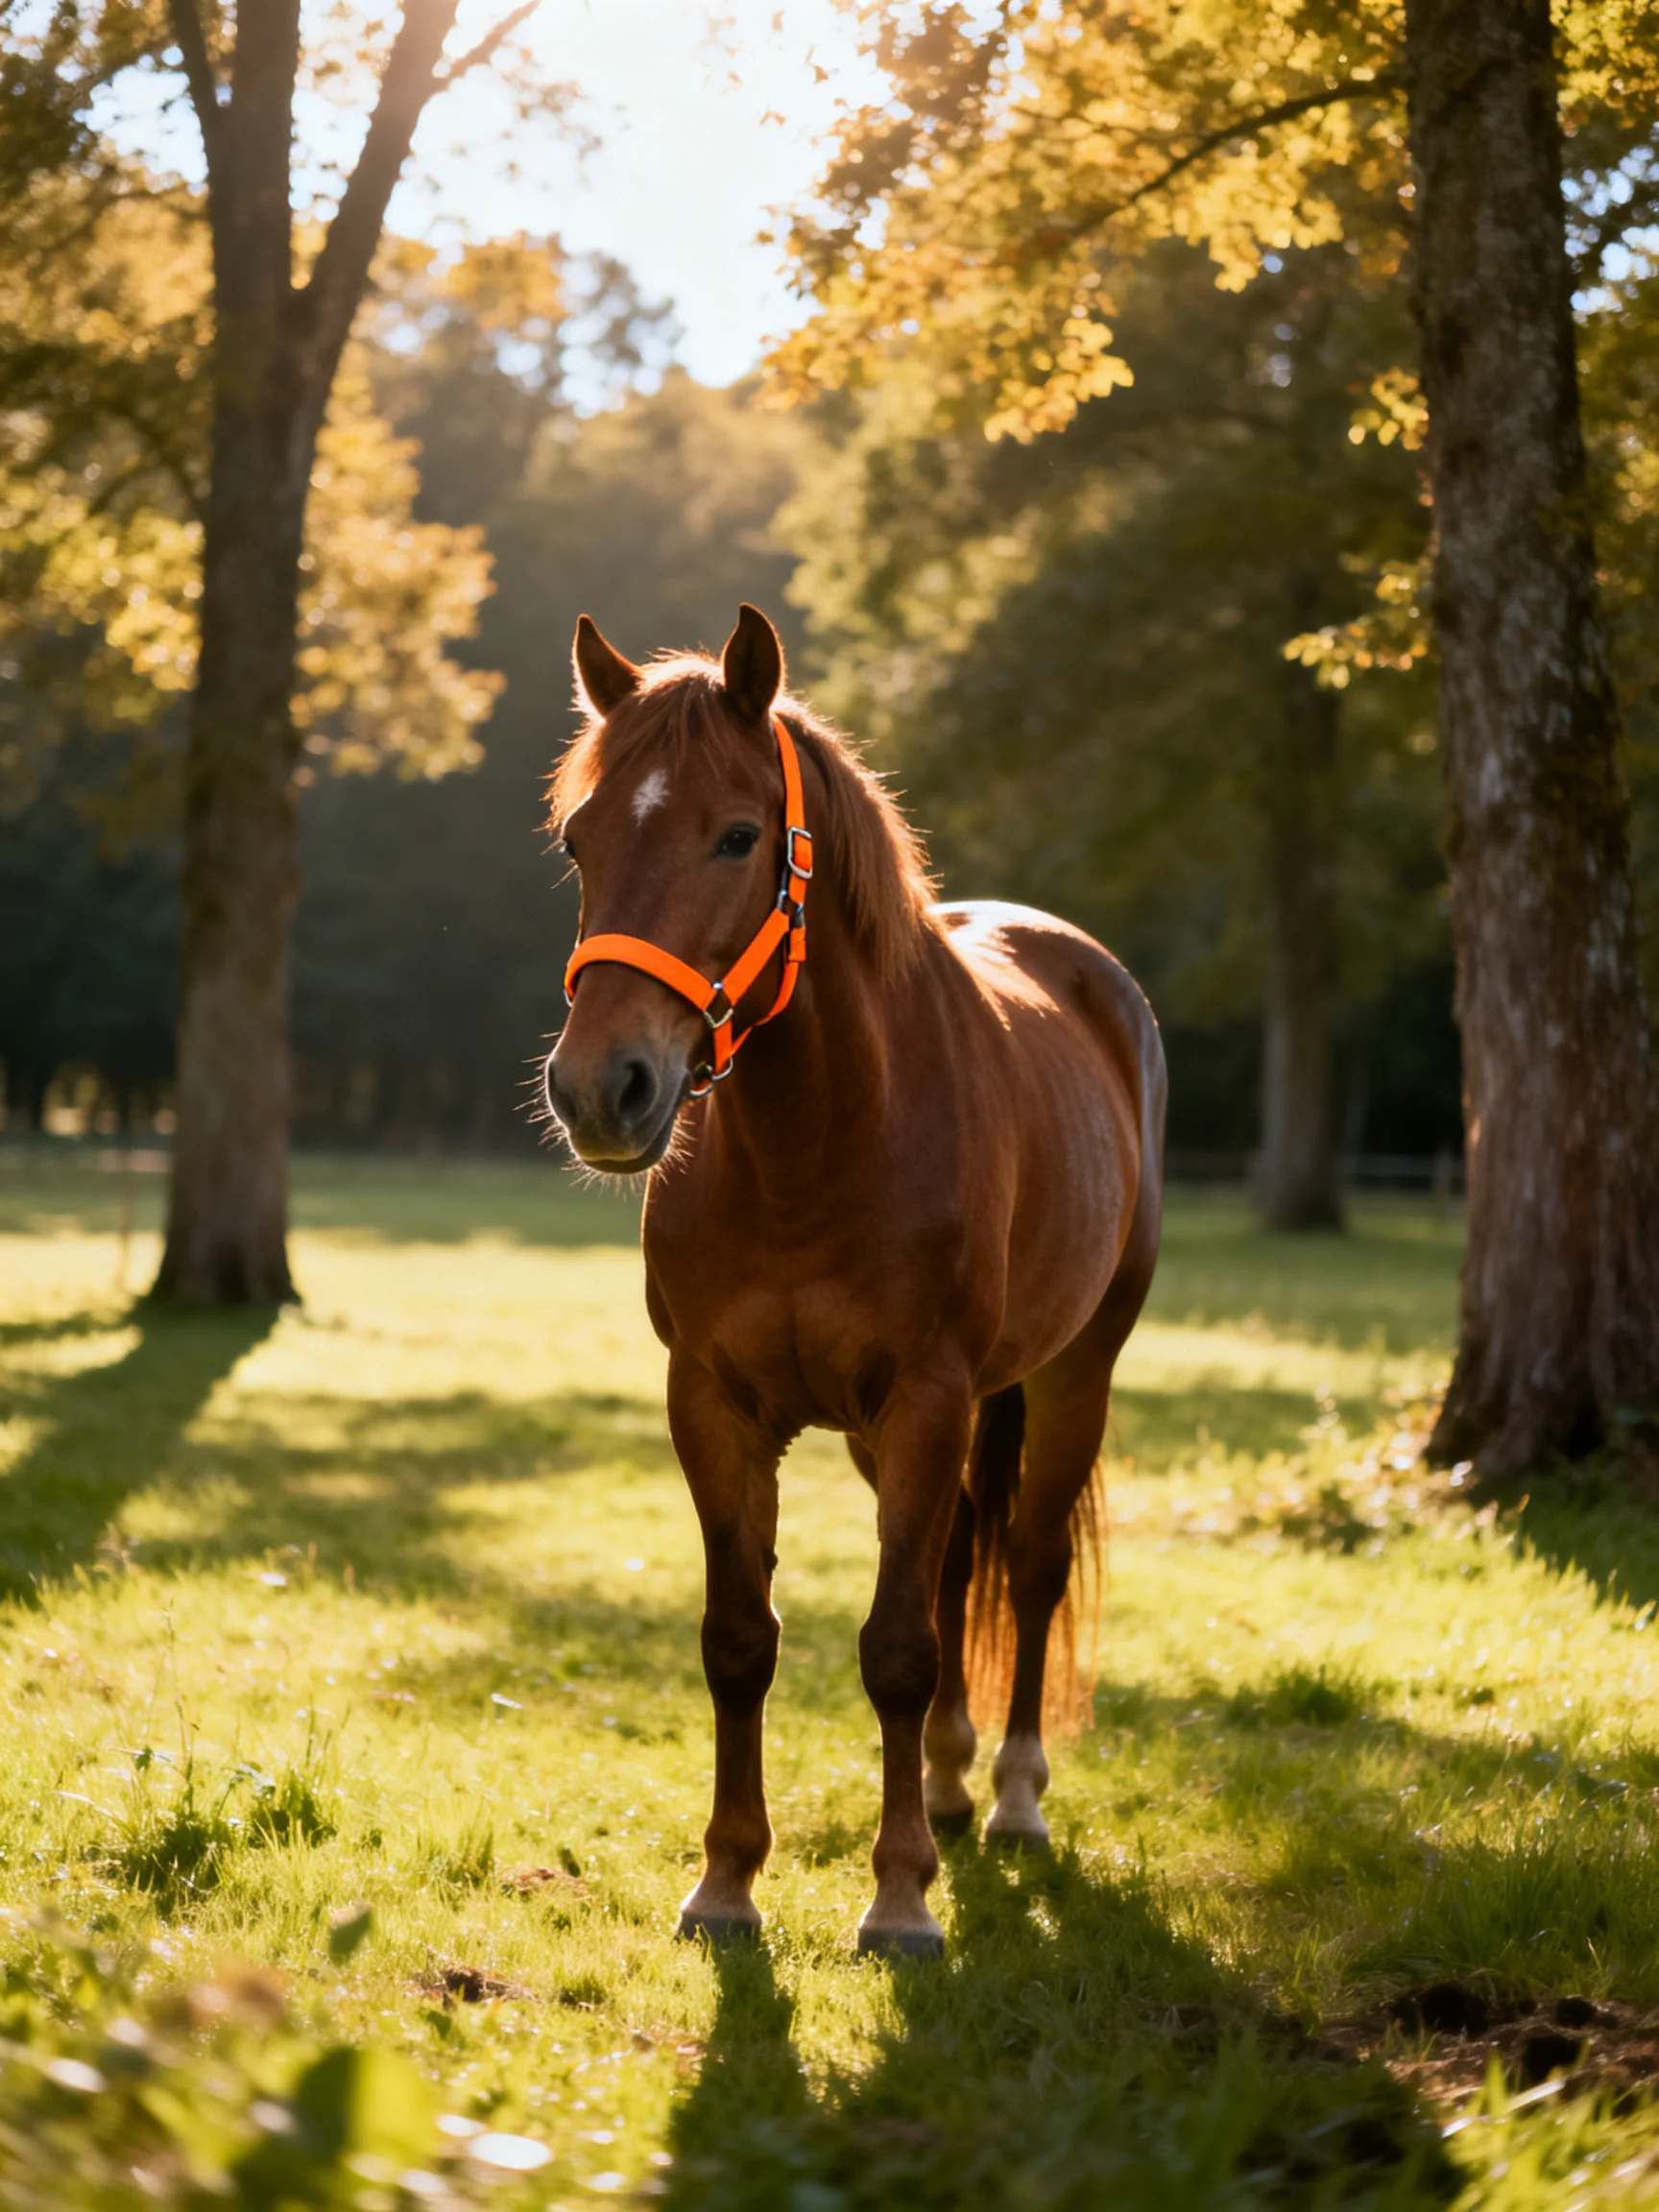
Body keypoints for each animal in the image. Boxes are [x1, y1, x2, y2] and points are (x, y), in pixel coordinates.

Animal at [543, 604, 1165, 1958]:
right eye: (579, 838)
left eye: (737, 835)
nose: (599, 1088)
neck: (821, 1143)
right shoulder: (716, 1406)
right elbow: (743, 1640)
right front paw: (727, 1884)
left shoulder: (928, 1399)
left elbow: (895, 1650)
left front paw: (900, 1899)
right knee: (956, 1564)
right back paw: (948, 1781)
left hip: (1073, 1376)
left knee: (1025, 1565)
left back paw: (1014, 1800)